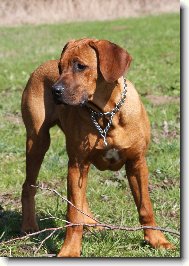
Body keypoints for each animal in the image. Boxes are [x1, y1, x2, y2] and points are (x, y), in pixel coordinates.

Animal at [20, 38, 173, 256]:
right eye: (60, 68)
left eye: (80, 66)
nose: (54, 91)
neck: (107, 114)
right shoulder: (77, 163)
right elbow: (73, 215)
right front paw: (70, 249)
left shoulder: (137, 162)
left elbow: (145, 207)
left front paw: (156, 239)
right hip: (37, 141)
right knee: (29, 186)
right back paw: (29, 226)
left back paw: (91, 222)